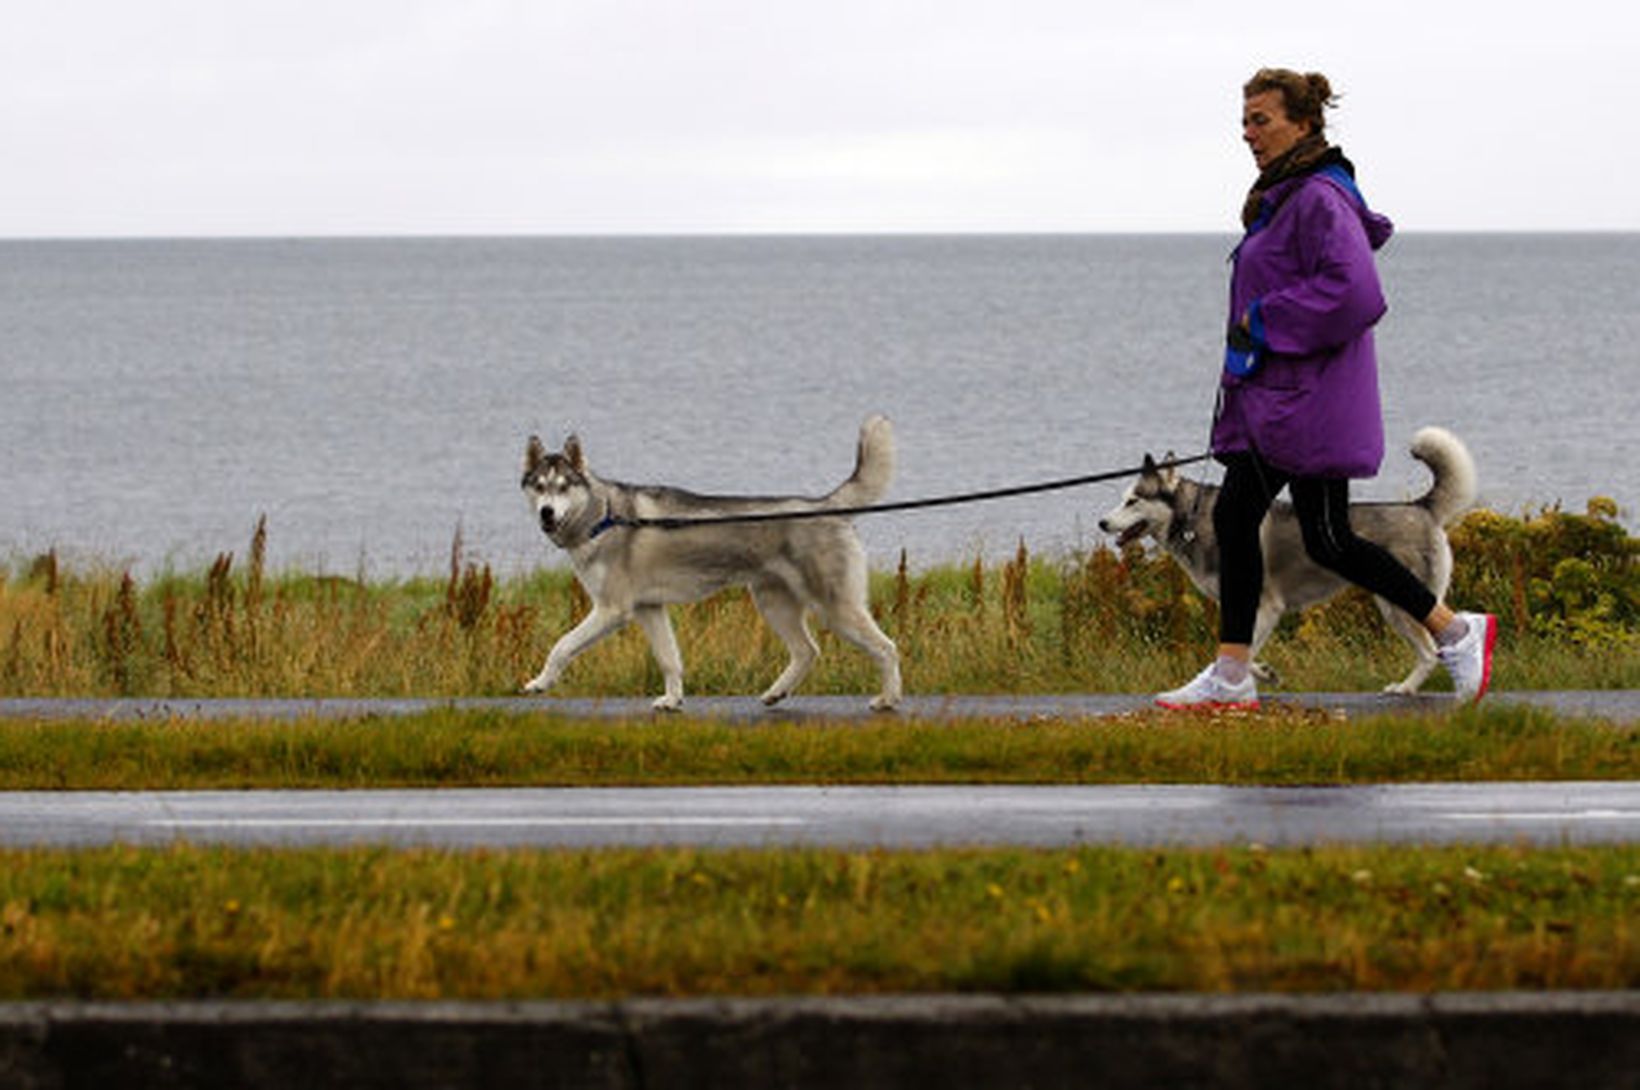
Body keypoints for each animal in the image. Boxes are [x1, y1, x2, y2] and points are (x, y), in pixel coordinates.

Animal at [521, 413, 905, 711]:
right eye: (539, 486)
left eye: (563, 487)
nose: (546, 512)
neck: (603, 517)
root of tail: (825, 505)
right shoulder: (649, 608)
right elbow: (670, 660)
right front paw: (672, 700)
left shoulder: (612, 610)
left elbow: (561, 645)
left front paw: (541, 681)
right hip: (773, 603)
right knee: (807, 651)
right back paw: (776, 692)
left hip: (834, 608)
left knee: (887, 648)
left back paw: (889, 699)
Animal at [1102, 426, 1476, 688]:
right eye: (1123, 498)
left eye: (1133, 501)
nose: (1102, 522)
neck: (1195, 521)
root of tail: (1421, 507)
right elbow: (1236, 646)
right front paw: (1257, 674)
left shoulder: (1267, 605)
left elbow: (1245, 649)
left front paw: (1254, 675)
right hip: (1393, 607)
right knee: (1428, 652)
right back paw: (1408, 688)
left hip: (1397, 605)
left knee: (1431, 651)